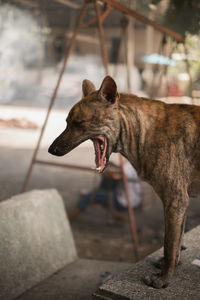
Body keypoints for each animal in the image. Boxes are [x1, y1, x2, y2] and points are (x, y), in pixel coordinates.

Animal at [48, 75, 200, 288]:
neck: (146, 131)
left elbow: (169, 245)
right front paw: (171, 267)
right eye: (67, 122)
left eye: (78, 123)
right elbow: (176, 243)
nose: (51, 150)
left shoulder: (175, 201)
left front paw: (163, 280)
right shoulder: (181, 204)